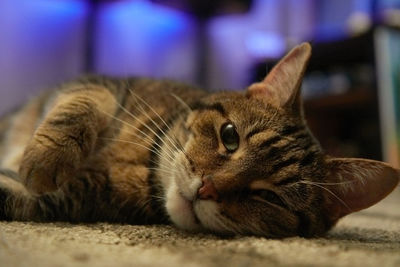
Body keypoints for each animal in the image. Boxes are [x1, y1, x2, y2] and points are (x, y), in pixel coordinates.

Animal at [0, 43, 398, 239]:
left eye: (270, 198)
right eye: (230, 136)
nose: (207, 188)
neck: (145, 162)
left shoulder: (72, 199)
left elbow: (16, 196)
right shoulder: (102, 83)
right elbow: (85, 104)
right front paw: (46, 157)